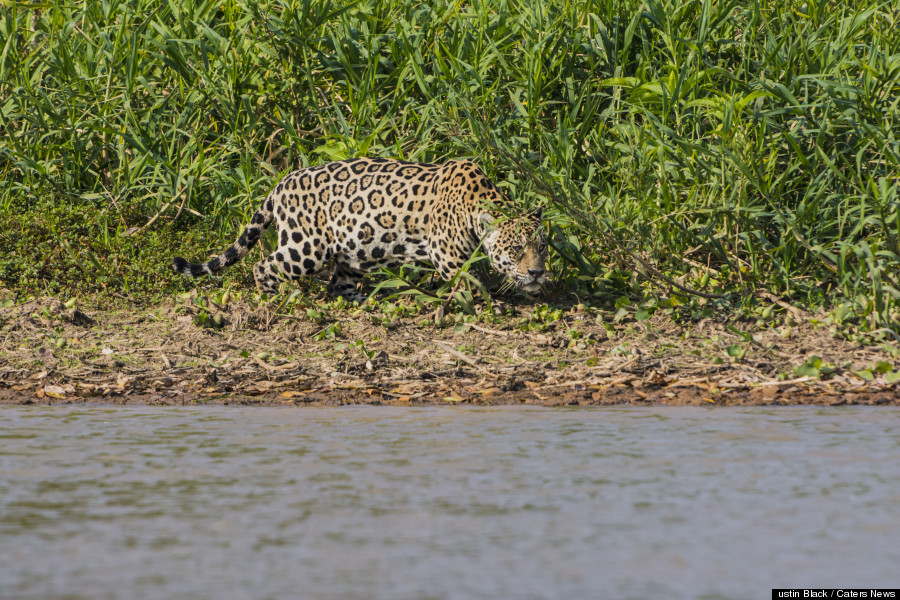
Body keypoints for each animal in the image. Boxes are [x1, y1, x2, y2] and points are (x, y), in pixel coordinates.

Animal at [172, 157, 548, 302]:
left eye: (542, 248)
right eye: (516, 249)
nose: (538, 273)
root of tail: (280, 184)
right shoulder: (448, 257)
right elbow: (469, 282)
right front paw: (492, 304)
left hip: (353, 254)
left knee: (337, 286)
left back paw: (364, 299)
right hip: (305, 248)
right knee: (262, 265)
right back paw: (276, 297)